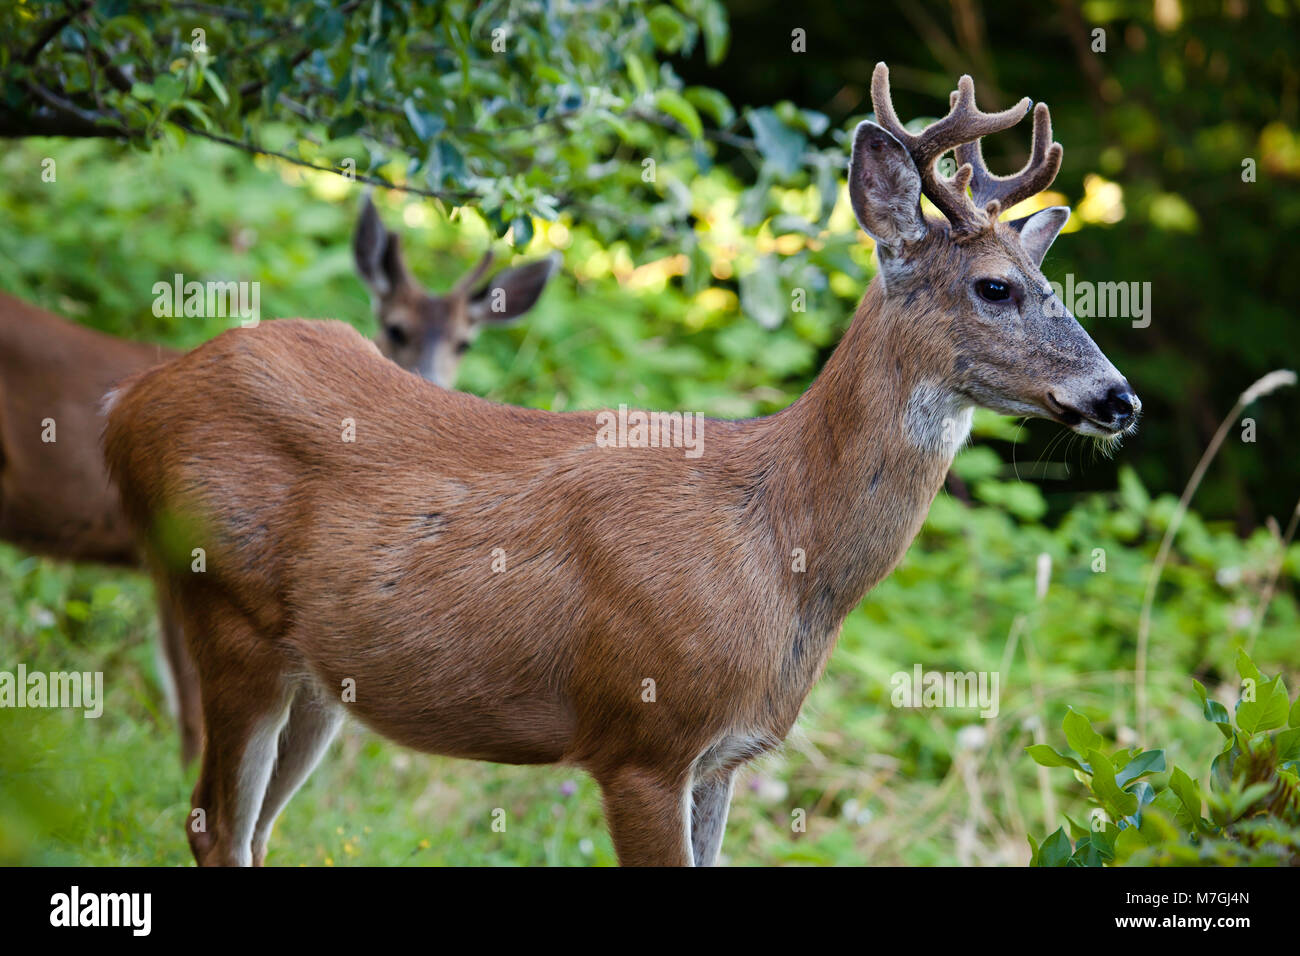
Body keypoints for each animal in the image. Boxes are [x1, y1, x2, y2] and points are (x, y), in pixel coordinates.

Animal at [101, 61, 1138, 868]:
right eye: (994, 287)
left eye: (1052, 281)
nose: (1117, 397)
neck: (782, 549)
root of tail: (130, 406)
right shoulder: (642, 738)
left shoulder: (725, 756)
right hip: (223, 613)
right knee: (210, 825)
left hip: (316, 674)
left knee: (251, 832)